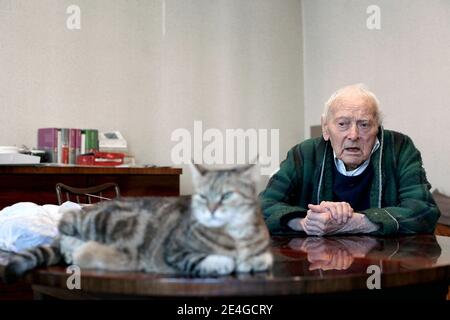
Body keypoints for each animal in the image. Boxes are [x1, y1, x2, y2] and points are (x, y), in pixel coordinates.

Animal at [2, 164, 270, 282]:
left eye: (227, 196)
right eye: (202, 197)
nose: (211, 209)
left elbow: (261, 258)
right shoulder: (175, 252)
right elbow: (213, 262)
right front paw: (226, 262)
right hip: (94, 221)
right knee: (66, 223)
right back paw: (73, 248)